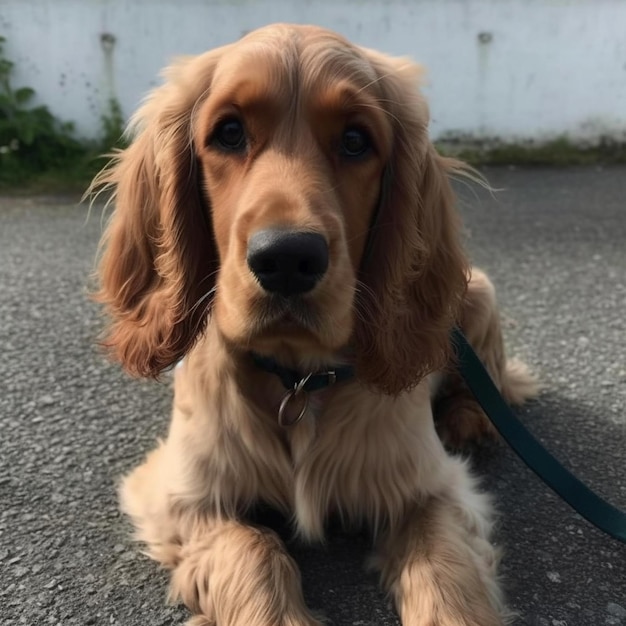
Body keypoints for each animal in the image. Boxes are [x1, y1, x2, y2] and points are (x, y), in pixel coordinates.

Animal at [92, 22, 536, 620]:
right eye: (229, 132)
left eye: (355, 141)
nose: (286, 259)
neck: (298, 379)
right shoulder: (181, 496)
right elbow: (254, 550)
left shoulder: (431, 489)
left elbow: (447, 582)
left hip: (478, 297)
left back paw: (468, 418)